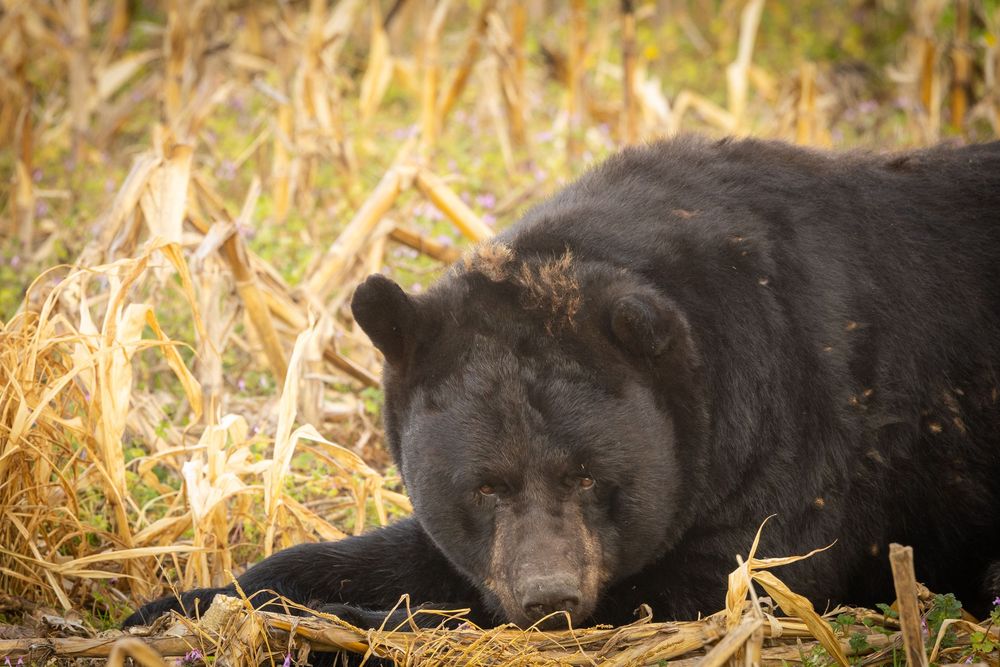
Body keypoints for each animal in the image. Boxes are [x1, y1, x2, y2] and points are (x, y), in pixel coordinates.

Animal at [125, 136, 1000, 632]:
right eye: (483, 485)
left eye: (589, 474)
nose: (549, 593)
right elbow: (392, 552)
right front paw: (179, 603)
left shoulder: (804, 434)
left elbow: (725, 578)